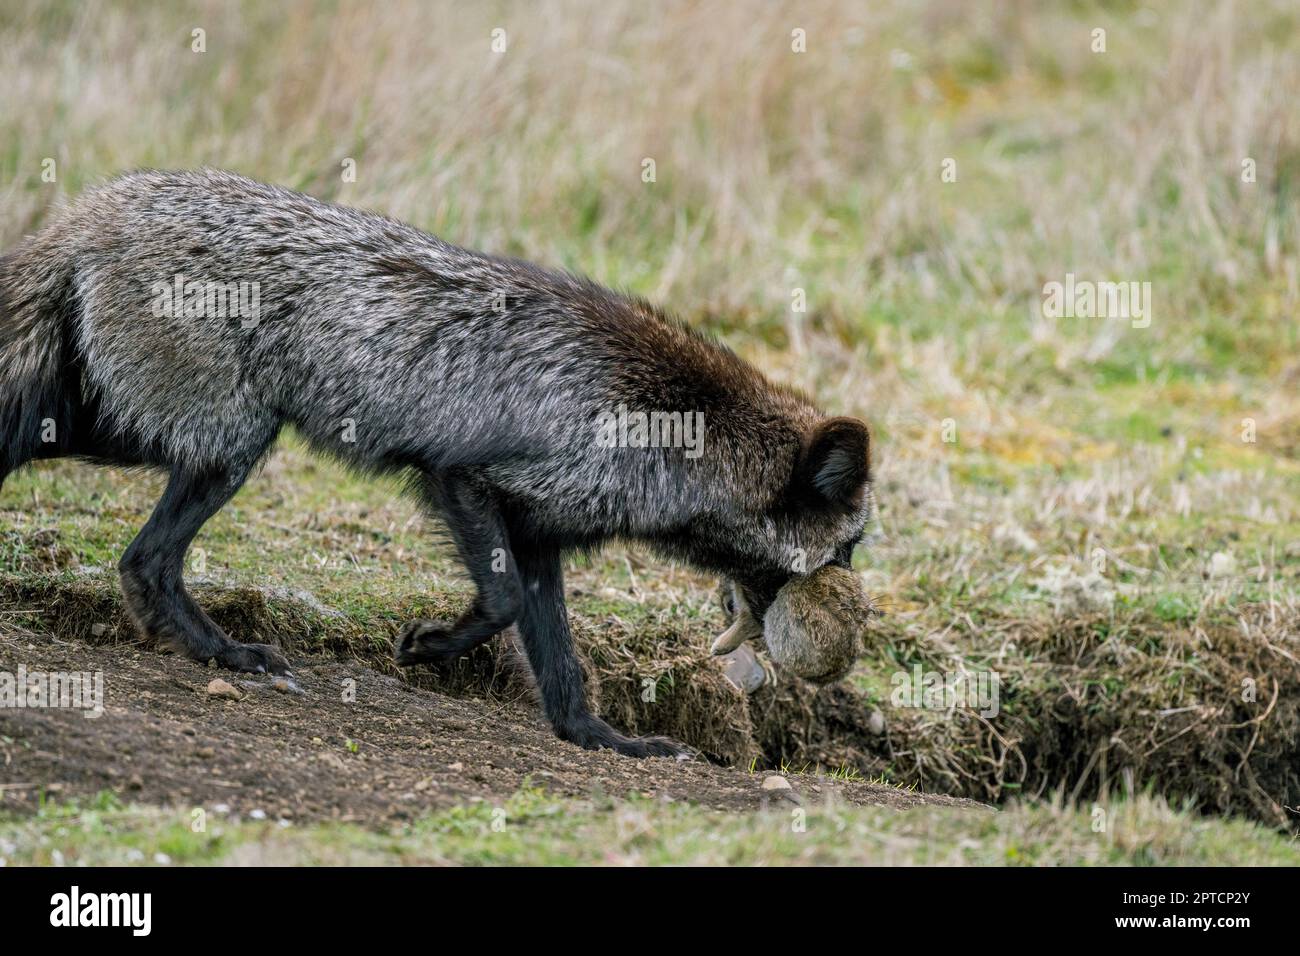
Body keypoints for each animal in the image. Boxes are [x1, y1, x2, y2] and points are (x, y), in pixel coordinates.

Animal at [0, 169, 872, 758]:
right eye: (853, 547)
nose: (853, 621)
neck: (671, 424)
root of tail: (94, 209)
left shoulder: (539, 532)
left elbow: (559, 659)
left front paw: (598, 739)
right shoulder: (467, 479)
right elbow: (502, 604)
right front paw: (426, 647)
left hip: (127, 427)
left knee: (131, 550)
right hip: (213, 444)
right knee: (146, 560)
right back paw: (228, 654)